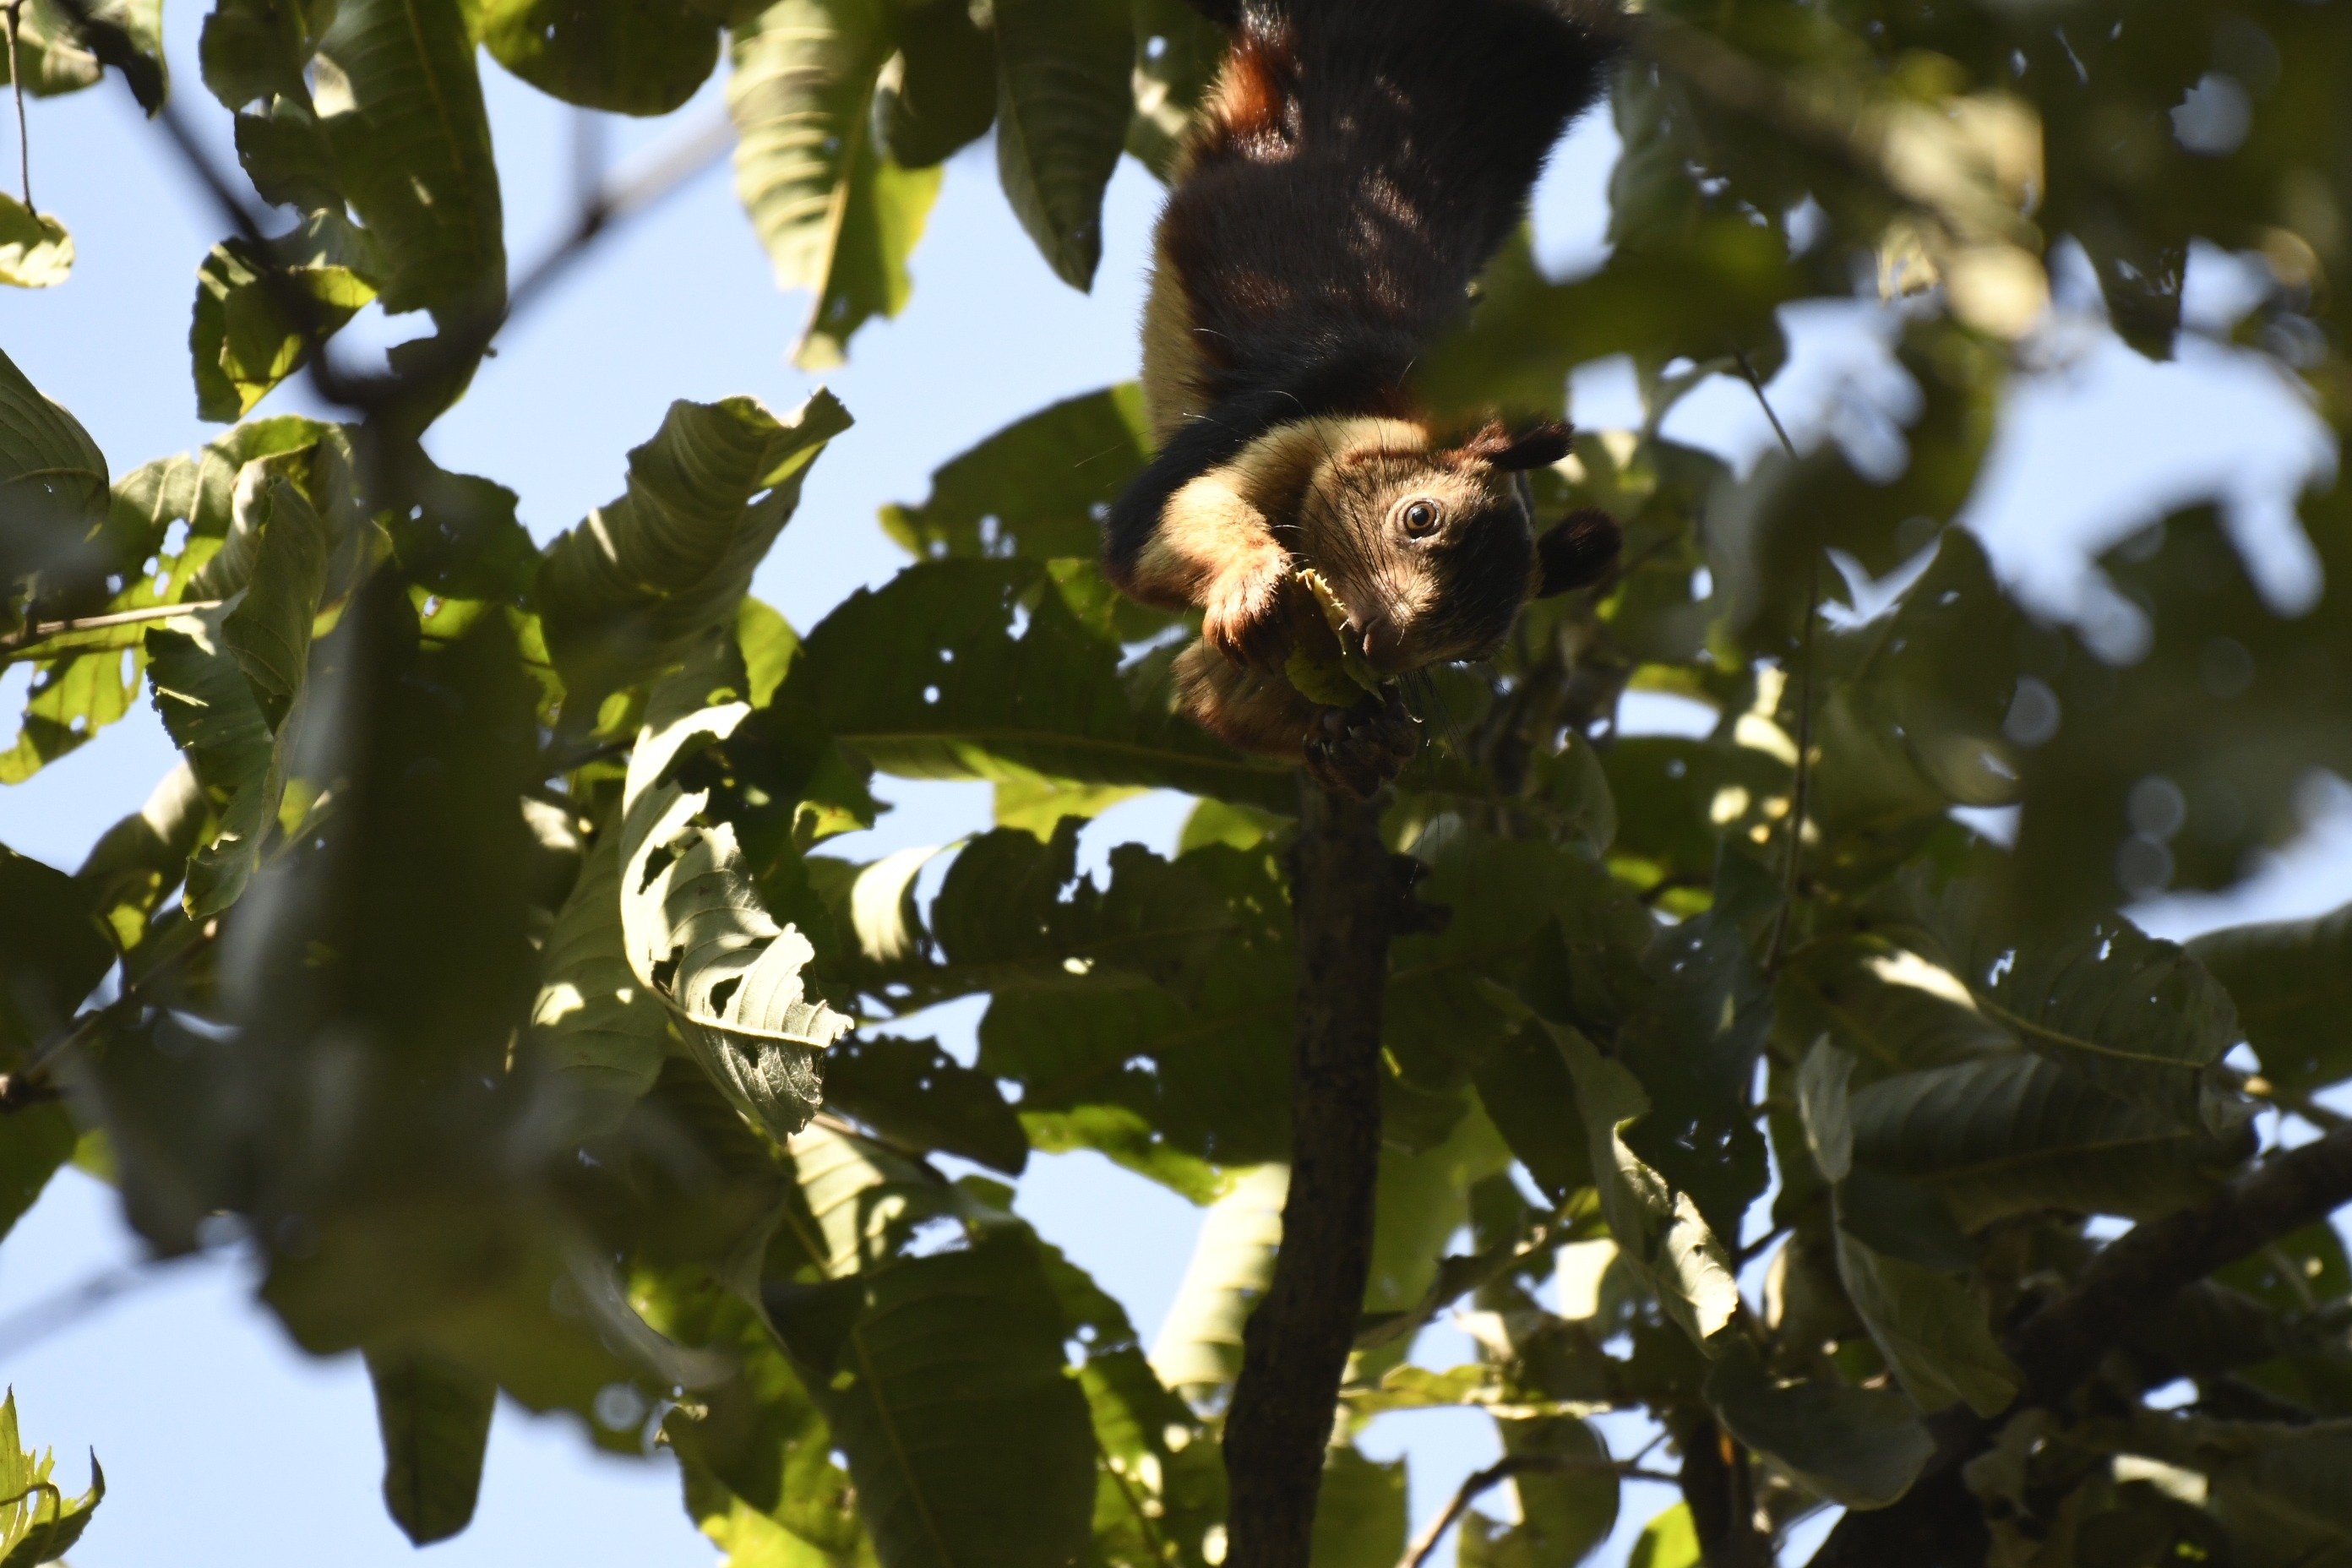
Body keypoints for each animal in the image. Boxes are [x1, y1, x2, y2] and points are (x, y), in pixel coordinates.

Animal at [1102, 0, 1624, 798]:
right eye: (1420, 517)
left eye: (1478, 650)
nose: (1381, 645)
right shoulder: (1289, 408)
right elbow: (1169, 517)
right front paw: (1250, 582)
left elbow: (1209, 689)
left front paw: (1365, 739)